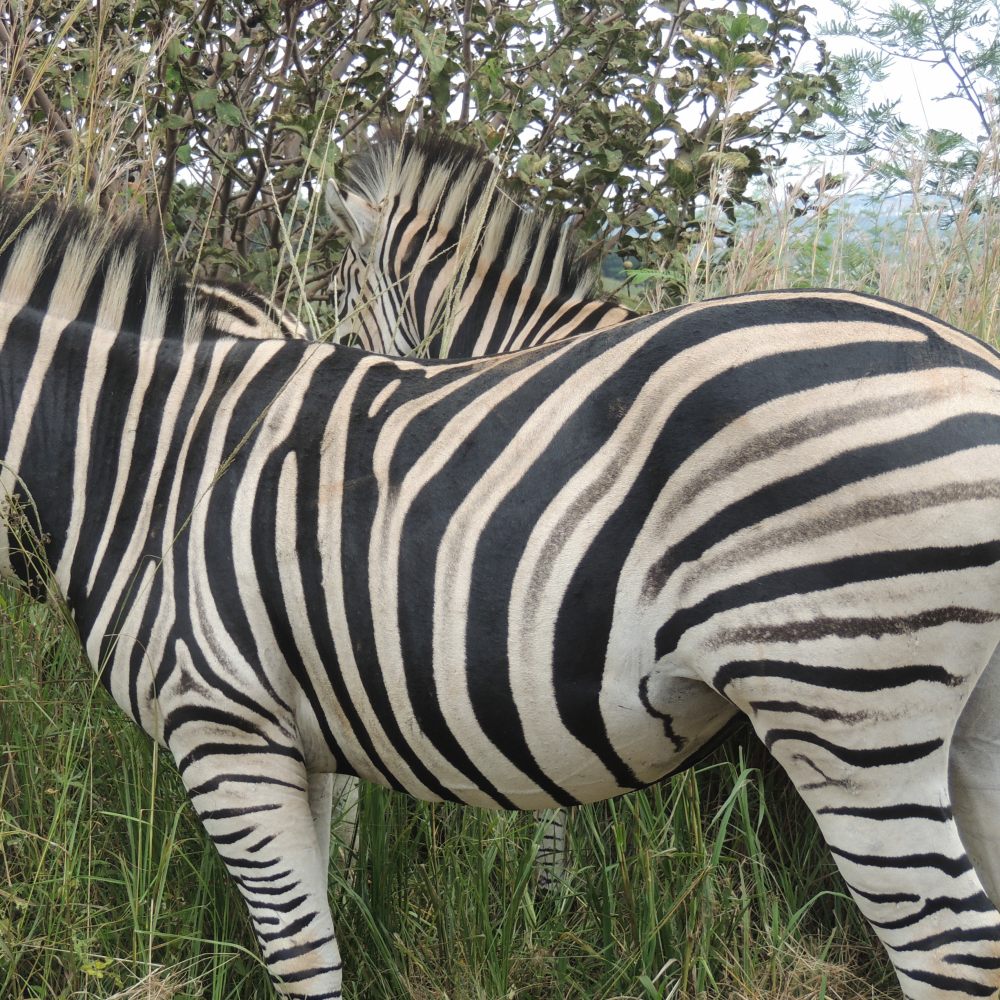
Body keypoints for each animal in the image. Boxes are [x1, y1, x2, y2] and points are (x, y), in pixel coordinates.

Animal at [4, 195, 1000, 1000]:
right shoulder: (297, 732)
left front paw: (546, 900)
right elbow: (325, 903)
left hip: (845, 709)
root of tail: (969, 356)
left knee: (948, 952)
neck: (143, 464)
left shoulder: (221, 723)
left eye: (350, 296)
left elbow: (299, 950)